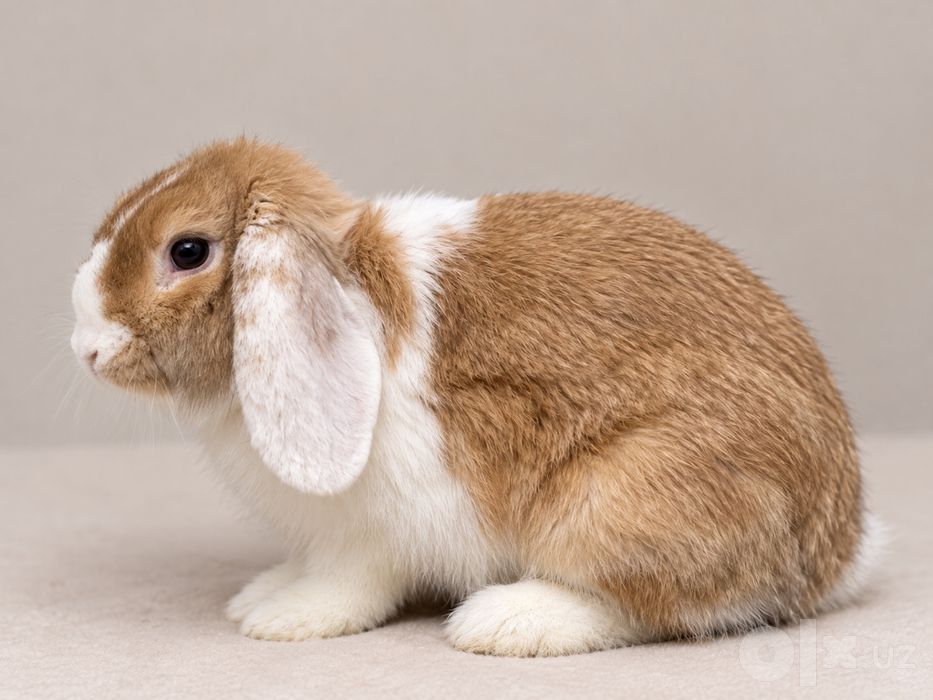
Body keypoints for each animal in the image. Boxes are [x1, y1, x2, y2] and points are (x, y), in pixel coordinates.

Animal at [70, 138, 880, 657]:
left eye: (187, 251)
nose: (87, 348)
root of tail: (837, 554)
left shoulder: (371, 533)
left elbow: (349, 582)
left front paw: (286, 618)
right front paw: (261, 593)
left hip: (619, 497)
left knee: (667, 606)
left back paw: (506, 622)